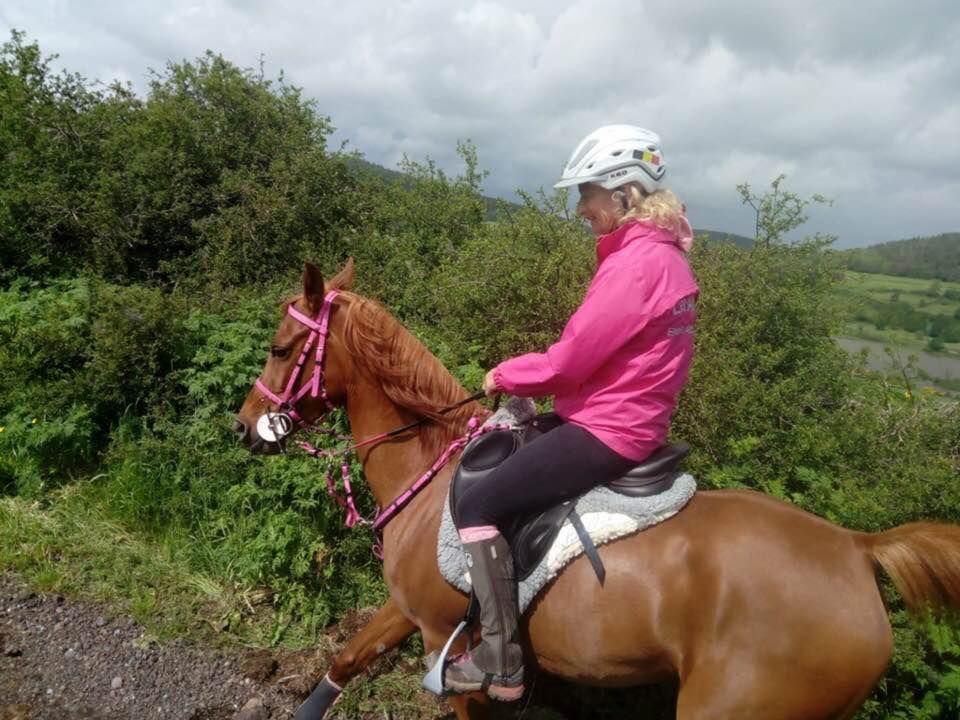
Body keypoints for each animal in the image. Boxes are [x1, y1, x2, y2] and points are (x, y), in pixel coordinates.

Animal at [234, 260, 960, 720]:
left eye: (279, 347)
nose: (245, 427)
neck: (431, 471)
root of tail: (857, 550)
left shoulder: (447, 638)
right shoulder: (413, 612)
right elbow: (348, 657)